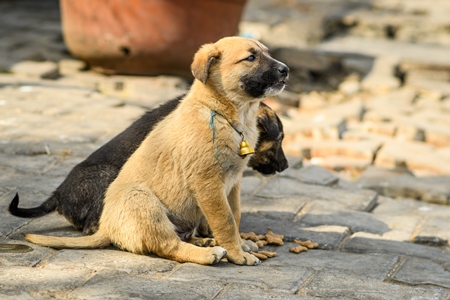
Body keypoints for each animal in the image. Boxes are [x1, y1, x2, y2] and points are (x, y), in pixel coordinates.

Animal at [24, 37, 290, 264]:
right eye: (250, 58)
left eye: (267, 53)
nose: (285, 70)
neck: (225, 115)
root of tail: (107, 228)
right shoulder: (208, 183)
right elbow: (225, 221)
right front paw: (237, 253)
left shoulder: (233, 184)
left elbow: (235, 214)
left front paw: (241, 245)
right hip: (142, 198)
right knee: (167, 245)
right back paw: (209, 253)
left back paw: (204, 243)